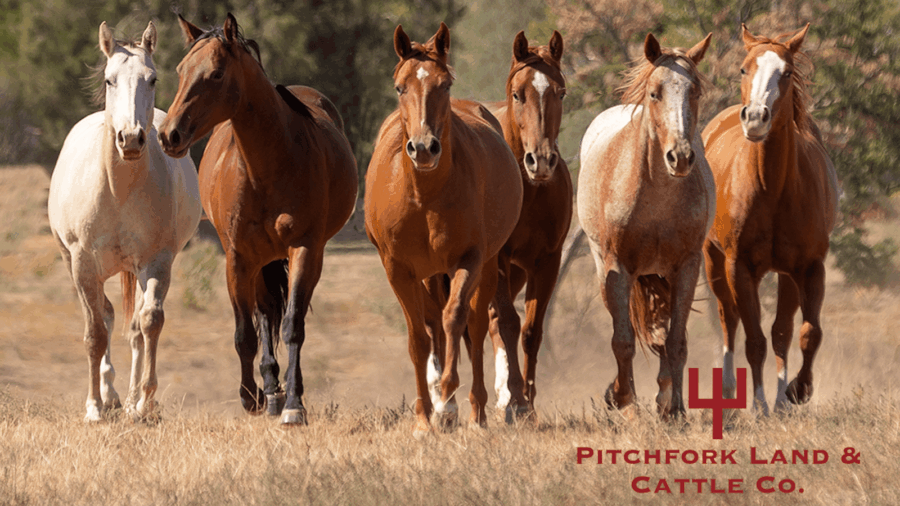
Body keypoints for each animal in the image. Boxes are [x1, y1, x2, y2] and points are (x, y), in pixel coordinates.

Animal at [48, 20, 202, 422]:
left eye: (152, 78)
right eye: (109, 80)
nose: (131, 138)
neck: (118, 190)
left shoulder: (157, 261)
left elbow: (149, 322)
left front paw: (145, 402)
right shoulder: (83, 263)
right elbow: (95, 333)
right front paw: (94, 407)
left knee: (133, 326)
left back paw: (129, 399)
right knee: (105, 316)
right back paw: (110, 394)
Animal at [158, 13, 358, 425]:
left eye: (216, 73)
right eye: (181, 69)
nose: (169, 135)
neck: (267, 166)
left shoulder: (304, 249)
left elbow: (293, 326)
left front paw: (294, 404)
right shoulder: (238, 259)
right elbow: (245, 333)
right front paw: (251, 397)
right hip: (260, 262)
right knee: (264, 316)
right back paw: (269, 390)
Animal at [364, 23, 523, 436]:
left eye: (444, 84)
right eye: (400, 87)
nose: (424, 149)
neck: (423, 196)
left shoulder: (469, 259)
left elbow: (456, 319)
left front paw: (450, 395)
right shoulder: (398, 269)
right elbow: (419, 338)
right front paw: (424, 417)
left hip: (487, 266)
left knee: (477, 326)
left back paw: (476, 410)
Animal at [577, 32, 714, 418]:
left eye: (695, 91)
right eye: (655, 92)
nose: (680, 157)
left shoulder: (686, 267)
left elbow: (676, 340)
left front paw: (673, 407)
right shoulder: (617, 268)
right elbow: (622, 341)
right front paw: (625, 403)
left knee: (663, 336)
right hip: (604, 269)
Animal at [702, 24, 838, 415]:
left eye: (787, 72)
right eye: (743, 69)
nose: (755, 118)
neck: (773, 188)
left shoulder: (808, 267)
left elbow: (804, 334)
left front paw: (794, 393)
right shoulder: (739, 267)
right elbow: (754, 339)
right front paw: (760, 406)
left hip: (785, 274)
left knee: (782, 331)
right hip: (713, 261)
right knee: (728, 319)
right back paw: (730, 392)